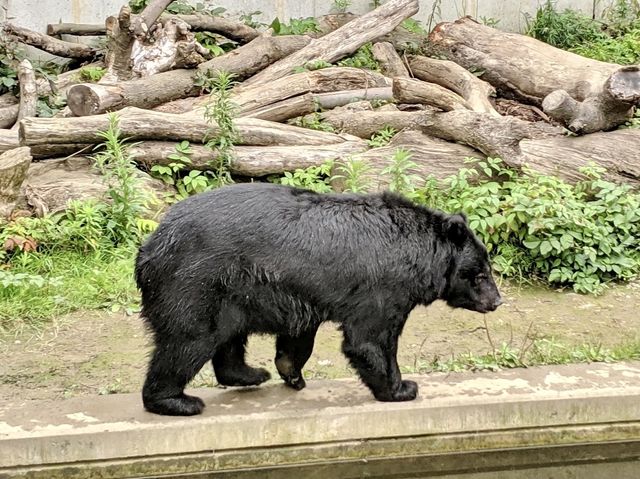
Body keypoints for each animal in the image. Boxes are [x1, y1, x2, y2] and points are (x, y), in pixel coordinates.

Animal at [135, 184, 502, 416]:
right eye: (480, 274)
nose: (497, 301)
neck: (417, 254)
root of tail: (149, 248)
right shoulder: (383, 286)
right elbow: (371, 339)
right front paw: (402, 388)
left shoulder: (303, 292)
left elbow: (298, 337)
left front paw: (290, 373)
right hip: (195, 284)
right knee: (188, 341)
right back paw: (177, 402)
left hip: (232, 293)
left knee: (228, 341)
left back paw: (252, 374)